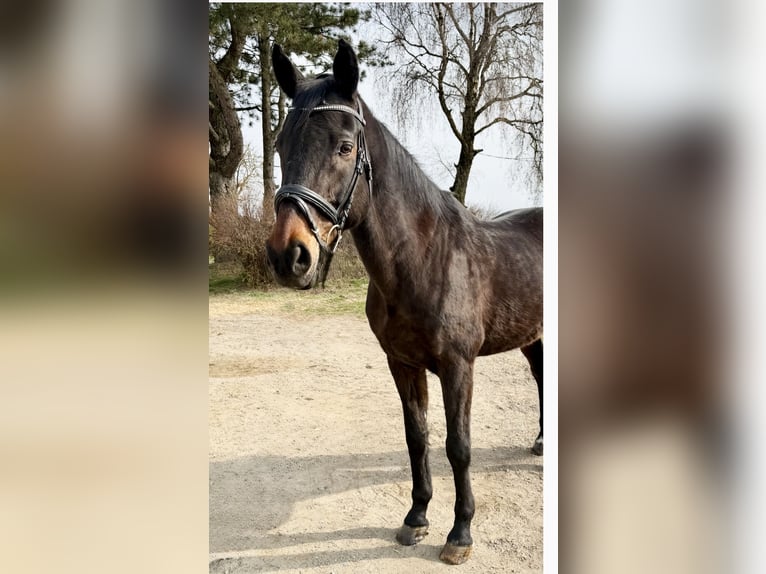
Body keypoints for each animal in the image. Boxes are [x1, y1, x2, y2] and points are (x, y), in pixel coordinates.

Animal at [266, 39, 543, 565]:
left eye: (344, 146)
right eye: (280, 146)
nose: (288, 255)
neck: (426, 258)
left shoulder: (458, 366)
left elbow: (458, 446)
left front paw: (460, 534)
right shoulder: (402, 364)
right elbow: (417, 438)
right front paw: (416, 518)